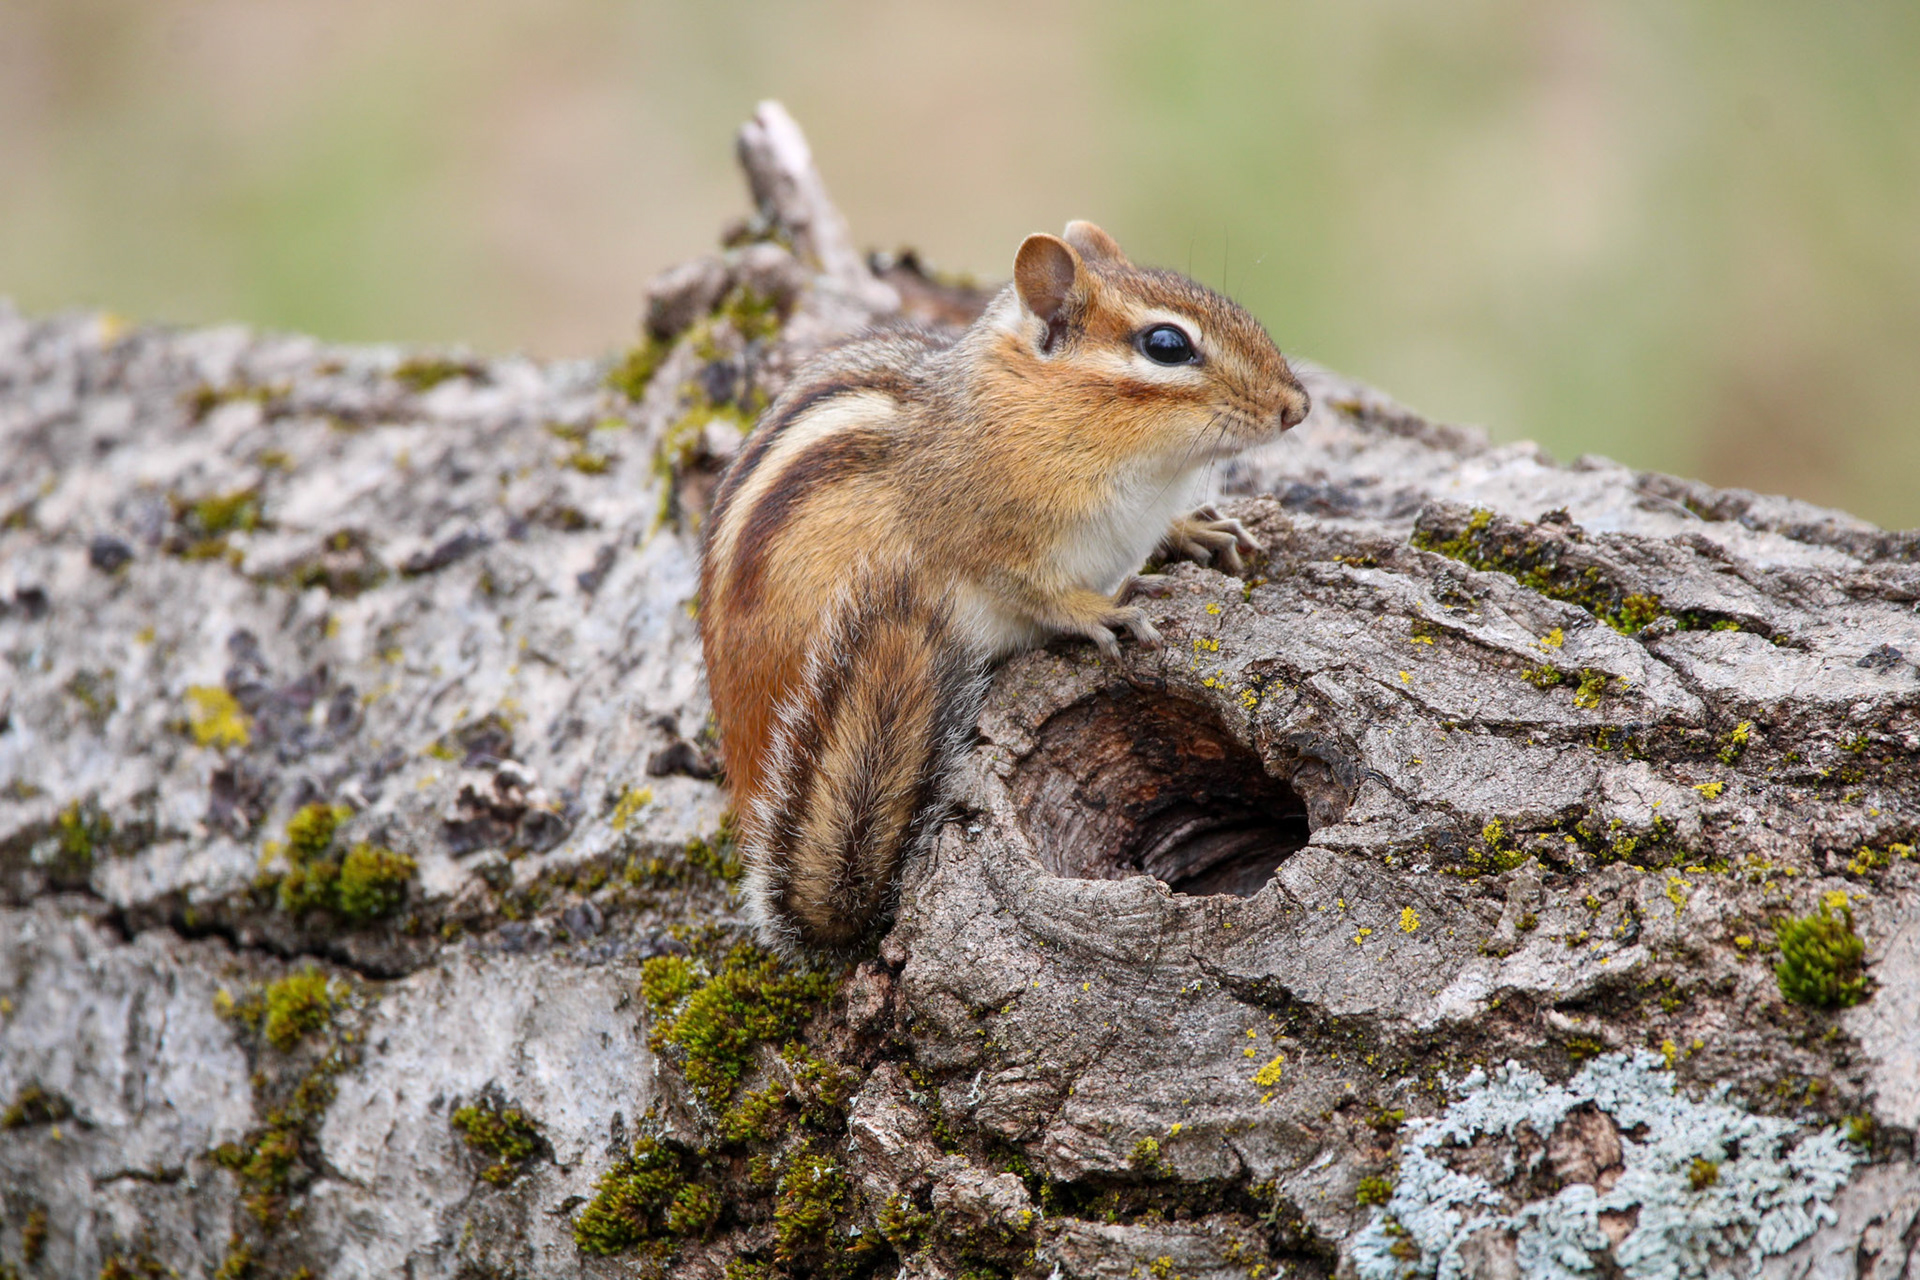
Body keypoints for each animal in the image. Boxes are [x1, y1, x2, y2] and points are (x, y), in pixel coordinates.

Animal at [698, 220, 1310, 958]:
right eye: (1166, 345)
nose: (1298, 407)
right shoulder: (988, 541)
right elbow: (1040, 593)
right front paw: (1103, 612)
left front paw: (1195, 529)